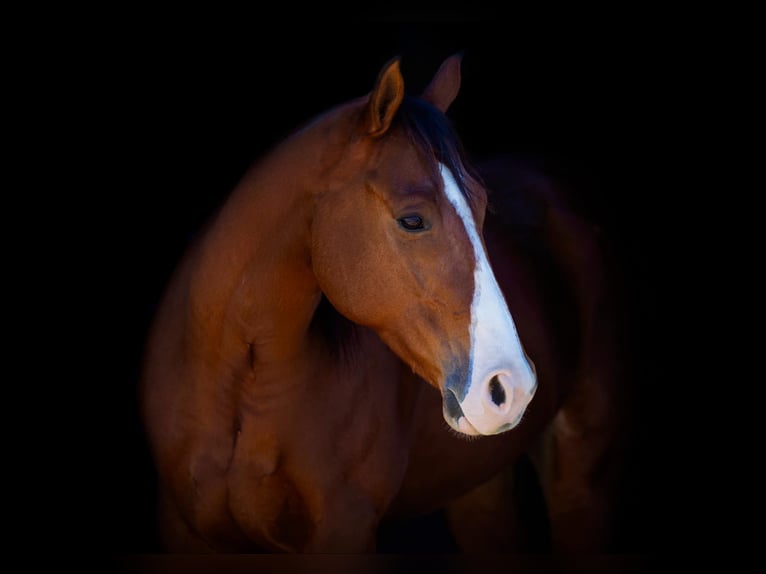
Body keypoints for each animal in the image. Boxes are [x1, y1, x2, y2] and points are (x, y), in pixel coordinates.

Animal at [138, 54, 632, 552]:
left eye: (482, 206)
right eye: (412, 220)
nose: (510, 388)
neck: (238, 387)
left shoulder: (347, 529)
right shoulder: (182, 529)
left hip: (582, 476)